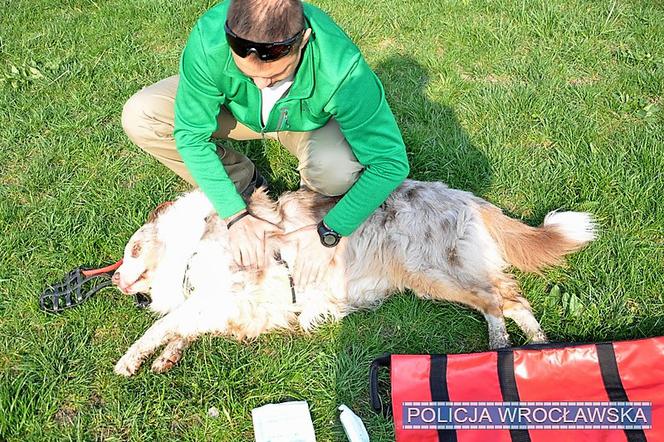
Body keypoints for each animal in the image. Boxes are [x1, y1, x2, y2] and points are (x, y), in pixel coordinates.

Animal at [111, 180, 592, 376]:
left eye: (132, 250)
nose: (114, 281)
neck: (192, 244)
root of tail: (462, 195)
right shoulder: (226, 306)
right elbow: (181, 329)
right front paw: (166, 357)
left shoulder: (221, 292)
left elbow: (162, 325)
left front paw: (130, 360)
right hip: (457, 269)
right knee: (510, 299)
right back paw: (534, 347)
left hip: (430, 273)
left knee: (495, 301)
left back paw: (504, 349)